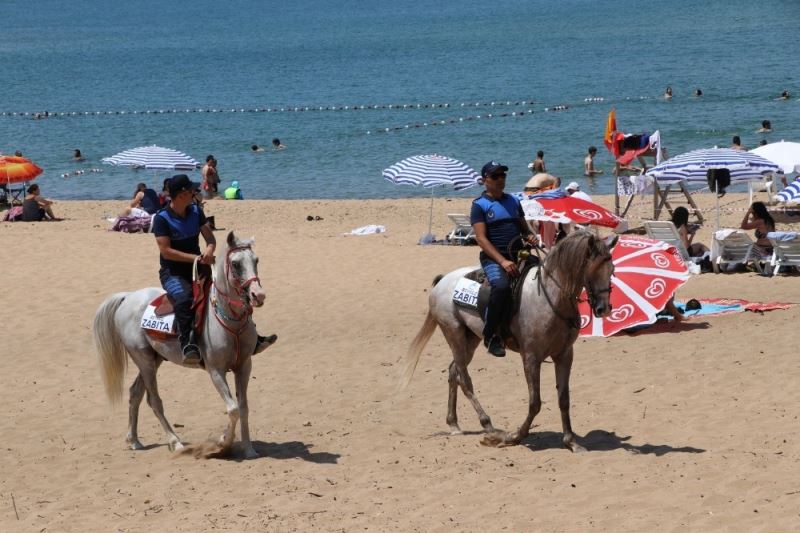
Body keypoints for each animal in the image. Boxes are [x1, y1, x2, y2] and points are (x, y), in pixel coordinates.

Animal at [92, 231, 276, 458]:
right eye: (235, 264)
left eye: (256, 260)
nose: (258, 295)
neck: (230, 320)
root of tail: (127, 297)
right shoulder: (216, 371)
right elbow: (232, 409)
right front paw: (223, 443)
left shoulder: (244, 366)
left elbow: (243, 408)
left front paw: (249, 449)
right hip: (144, 360)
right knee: (154, 401)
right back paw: (176, 442)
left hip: (154, 359)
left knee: (135, 394)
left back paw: (134, 440)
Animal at [401, 230, 617, 451]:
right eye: (592, 268)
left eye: (612, 270)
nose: (603, 309)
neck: (550, 298)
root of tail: (443, 280)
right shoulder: (531, 357)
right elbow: (535, 402)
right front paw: (514, 436)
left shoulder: (564, 355)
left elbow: (564, 399)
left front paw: (571, 441)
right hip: (454, 334)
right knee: (464, 380)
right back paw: (489, 426)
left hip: (470, 339)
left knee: (454, 371)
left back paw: (454, 424)